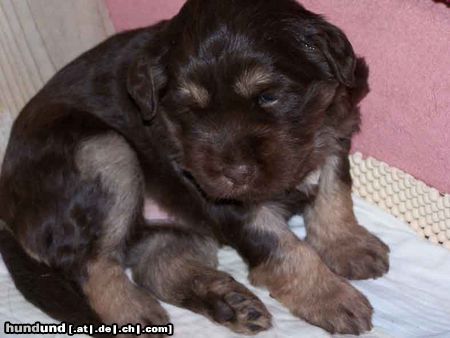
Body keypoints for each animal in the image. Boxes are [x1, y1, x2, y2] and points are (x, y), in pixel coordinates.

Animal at [0, 0, 388, 336]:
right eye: (191, 109)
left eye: (268, 97)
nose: (235, 173)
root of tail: (7, 210)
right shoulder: (227, 203)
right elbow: (287, 249)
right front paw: (332, 297)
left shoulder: (335, 132)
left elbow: (334, 194)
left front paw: (347, 245)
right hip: (105, 151)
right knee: (89, 264)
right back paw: (133, 313)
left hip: (173, 225)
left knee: (156, 268)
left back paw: (231, 303)